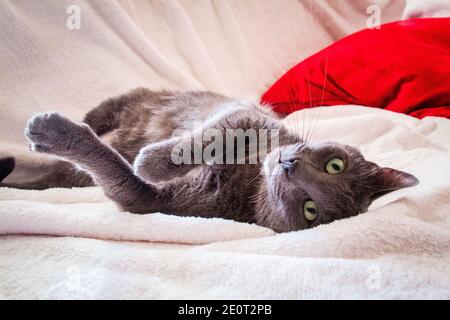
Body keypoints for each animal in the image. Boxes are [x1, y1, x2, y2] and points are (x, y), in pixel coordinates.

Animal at [1, 88, 420, 232]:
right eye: (336, 164)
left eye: (310, 209)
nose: (289, 166)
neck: (251, 177)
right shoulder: (251, 119)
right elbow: (214, 135)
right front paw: (154, 158)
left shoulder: (150, 201)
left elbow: (117, 171)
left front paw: (141, 163)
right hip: (127, 100)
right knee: (101, 115)